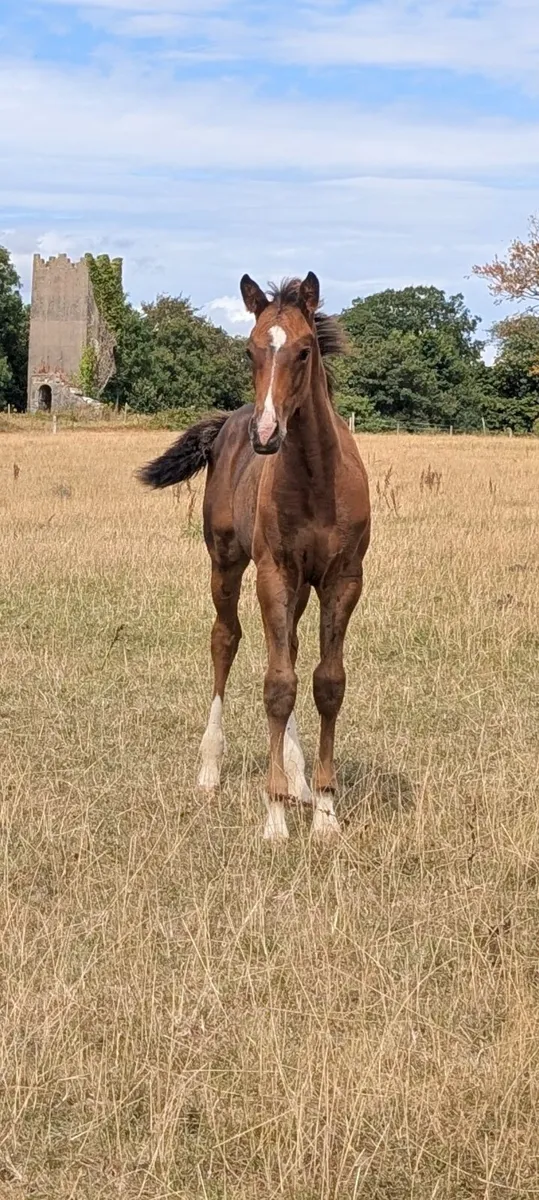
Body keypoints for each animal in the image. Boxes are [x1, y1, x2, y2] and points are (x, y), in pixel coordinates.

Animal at [139, 272, 370, 842]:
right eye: (250, 350)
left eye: (305, 351)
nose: (266, 435)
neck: (316, 478)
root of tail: (228, 422)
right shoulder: (272, 574)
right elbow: (277, 685)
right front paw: (275, 817)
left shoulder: (343, 579)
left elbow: (326, 683)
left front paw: (325, 812)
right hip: (225, 563)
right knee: (225, 641)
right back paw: (210, 769)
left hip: (301, 588)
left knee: (287, 650)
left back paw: (299, 779)